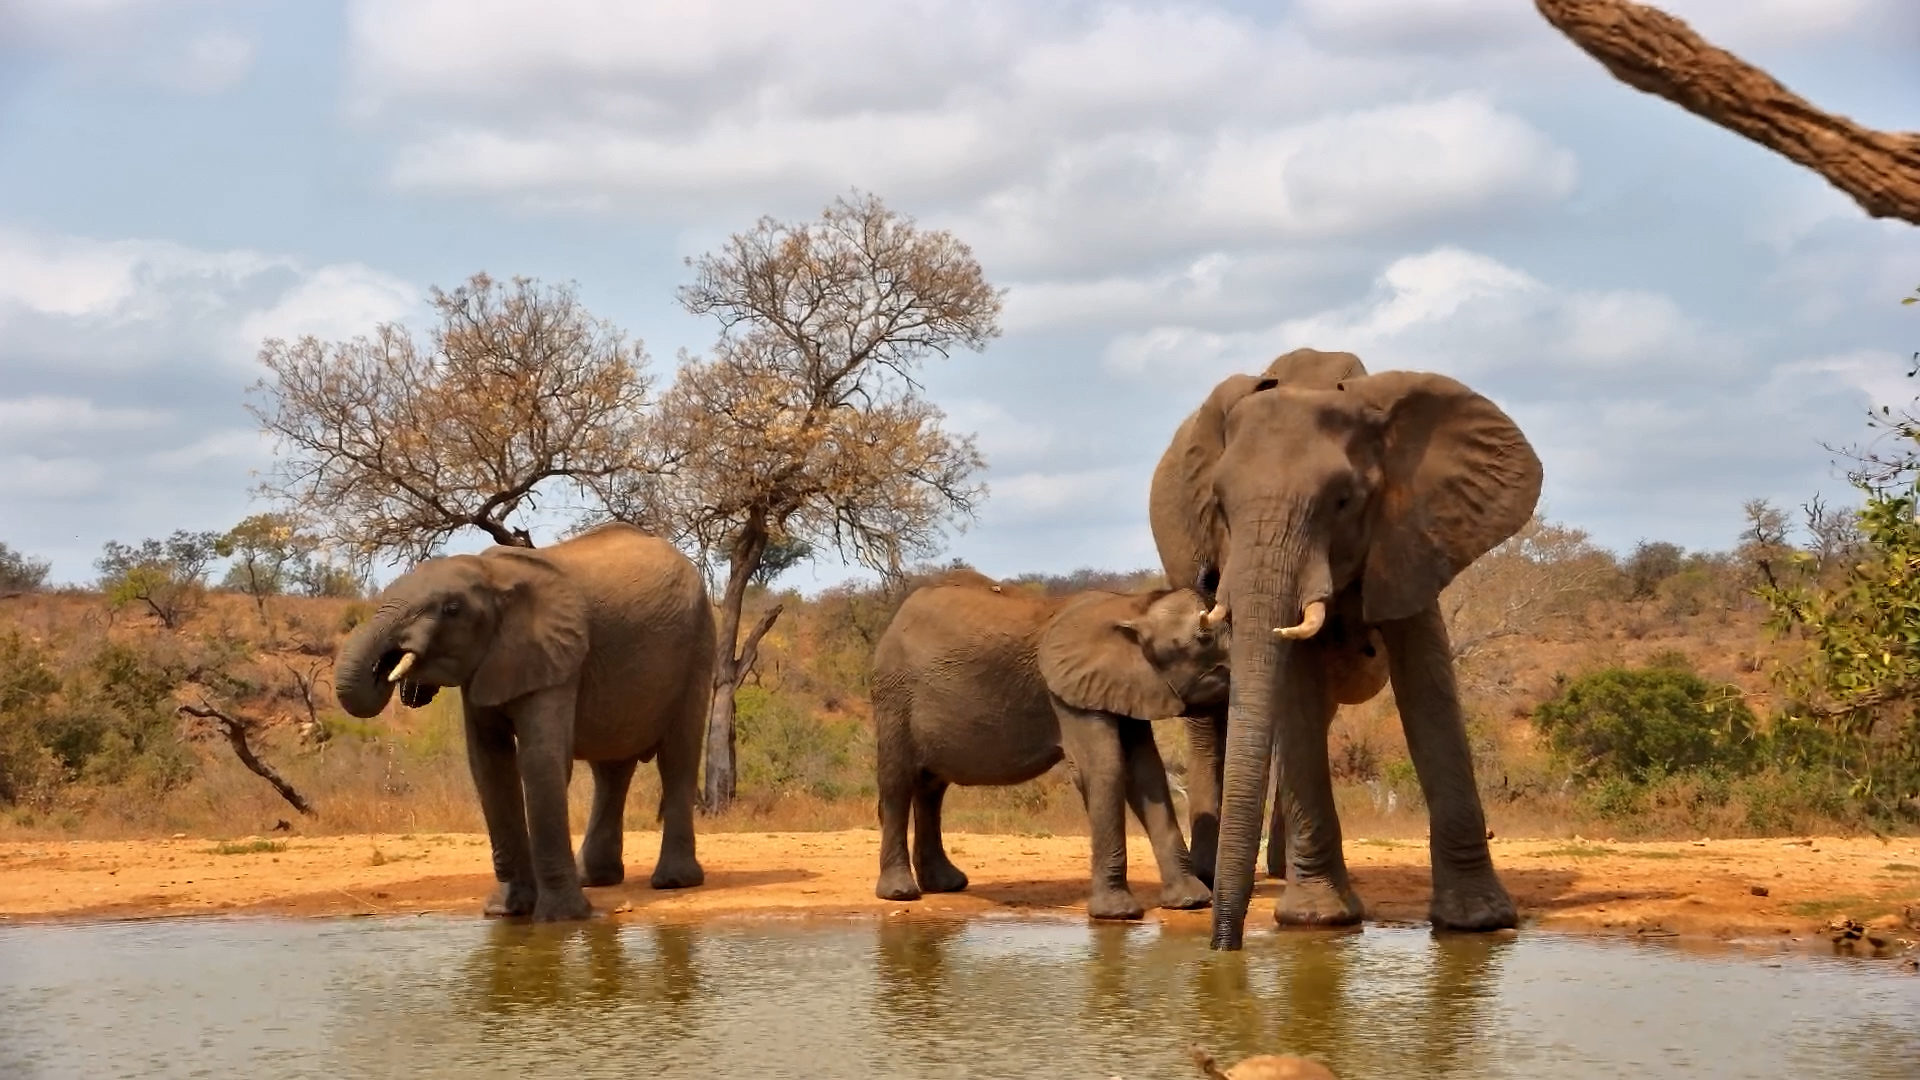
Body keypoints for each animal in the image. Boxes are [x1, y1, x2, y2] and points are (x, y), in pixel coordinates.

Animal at [333, 522, 716, 922]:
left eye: (452, 609)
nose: (397, 677)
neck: (494, 575)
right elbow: (489, 765)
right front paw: (505, 912)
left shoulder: (556, 658)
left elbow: (539, 760)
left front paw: (560, 920)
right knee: (611, 768)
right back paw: (596, 879)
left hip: (699, 643)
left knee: (677, 757)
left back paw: (673, 882)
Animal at [870, 569, 1230, 919]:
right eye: (1204, 640)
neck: (1133, 607)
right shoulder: (1068, 693)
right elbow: (1104, 770)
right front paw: (1117, 914)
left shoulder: (1126, 686)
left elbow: (1147, 774)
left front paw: (1191, 902)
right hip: (893, 694)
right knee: (898, 783)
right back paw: (900, 893)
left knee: (931, 788)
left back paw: (946, 885)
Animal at [1149, 347, 1541, 949]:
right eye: (1218, 504)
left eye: (1342, 501)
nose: (1222, 949)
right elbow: (1297, 688)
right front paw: (1317, 920)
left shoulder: (1413, 530)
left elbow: (1427, 684)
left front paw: (1478, 924)